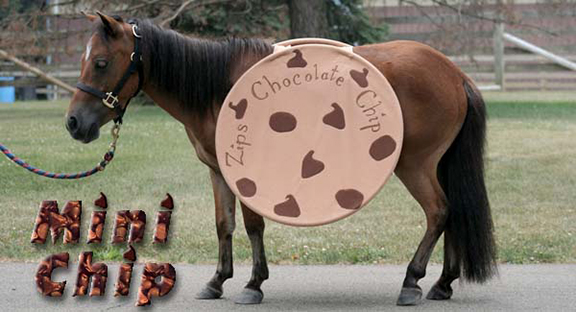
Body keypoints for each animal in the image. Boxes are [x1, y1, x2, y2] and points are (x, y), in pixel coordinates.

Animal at [67, 13, 498, 306]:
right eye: (84, 59)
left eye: (101, 62)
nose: (74, 123)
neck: (219, 86)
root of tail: (455, 73)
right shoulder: (218, 171)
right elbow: (225, 225)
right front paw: (217, 281)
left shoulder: (245, 173)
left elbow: (254, 225)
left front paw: (252, 284)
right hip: (436, 164)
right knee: (453, 213)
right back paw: (442, 284)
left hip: (415, 164)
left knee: (439, 211)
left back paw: (412, 281)